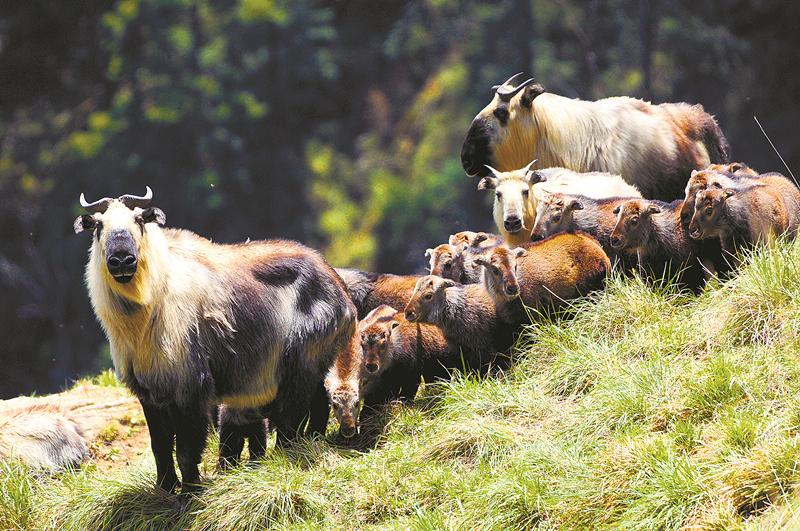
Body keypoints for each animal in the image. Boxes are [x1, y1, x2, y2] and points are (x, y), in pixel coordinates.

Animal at [74, 188, 356, 494]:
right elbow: (159, 445)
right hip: (313, 366)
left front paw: (190, 492)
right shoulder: (149, 392)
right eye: (98, 226)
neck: (150, 306)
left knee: (291, 418)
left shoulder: (191, 388)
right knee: (317, 404)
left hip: (299, 366)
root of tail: (338, 286)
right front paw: (165, 487)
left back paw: (285, 458)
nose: (122, 260)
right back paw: (312, 442)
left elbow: (186, 449)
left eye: (138, 220)